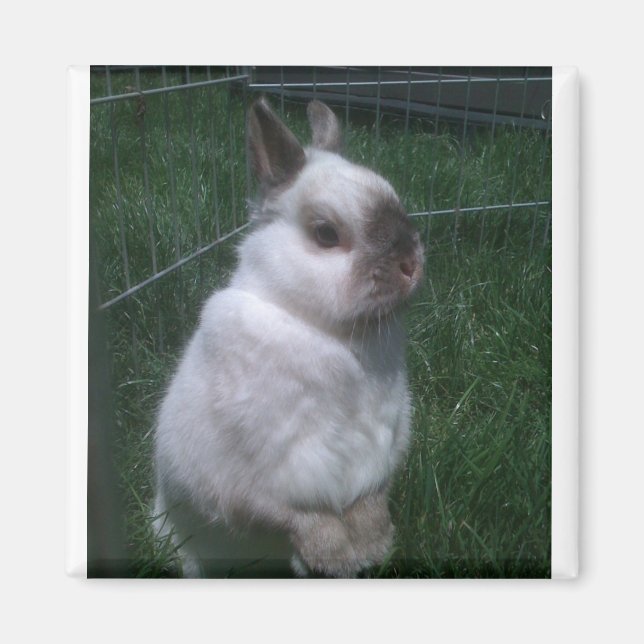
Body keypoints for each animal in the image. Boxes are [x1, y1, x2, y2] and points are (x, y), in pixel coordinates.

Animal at [153, 97, 424, 578]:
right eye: (326, 233)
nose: (411, 263)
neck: (326, 332)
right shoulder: (250, 475)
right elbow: (292, 514)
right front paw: (334, 555)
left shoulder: (382, 444)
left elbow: (369, 501)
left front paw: (374, 544)